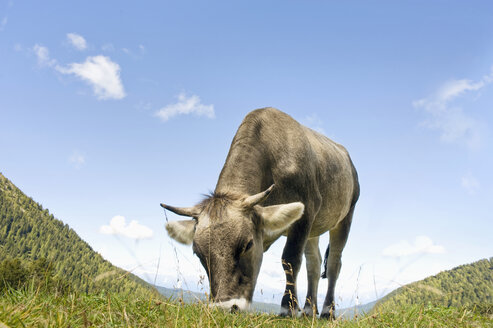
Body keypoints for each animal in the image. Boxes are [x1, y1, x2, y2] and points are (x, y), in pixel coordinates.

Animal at [161, 107, 358, 318]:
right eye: (198, 253)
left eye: (247, 245)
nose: (226, 307)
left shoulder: (306, 211)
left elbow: (290, 259)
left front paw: (288, 307)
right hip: (314, 228)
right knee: (313, 263)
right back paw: (308, 310)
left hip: (345, 216)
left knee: (334, 263)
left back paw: (328, 311)